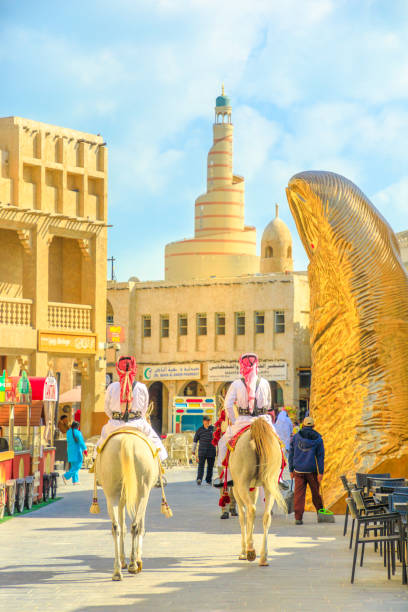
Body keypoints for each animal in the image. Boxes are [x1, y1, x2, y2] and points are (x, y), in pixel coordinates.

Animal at [96, 432, 159, 580]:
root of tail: (127, 441)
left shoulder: (122, 497)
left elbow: (122, 526)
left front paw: (123, 560)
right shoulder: (141, 495)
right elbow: (141, 526)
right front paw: (138, 559)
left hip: (112, 493)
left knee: (115, 527)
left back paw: (117, 571)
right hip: (142, 492)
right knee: (135, 525)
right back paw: (133, 565)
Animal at [231, 418, 286, 568]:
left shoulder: (236, 489)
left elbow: (242, 517)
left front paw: (243, 551)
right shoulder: (253, 488)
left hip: (242, 484)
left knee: (251, 510)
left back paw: (250, 550)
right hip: (270, 484)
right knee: (266, 516)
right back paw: (263, 557)